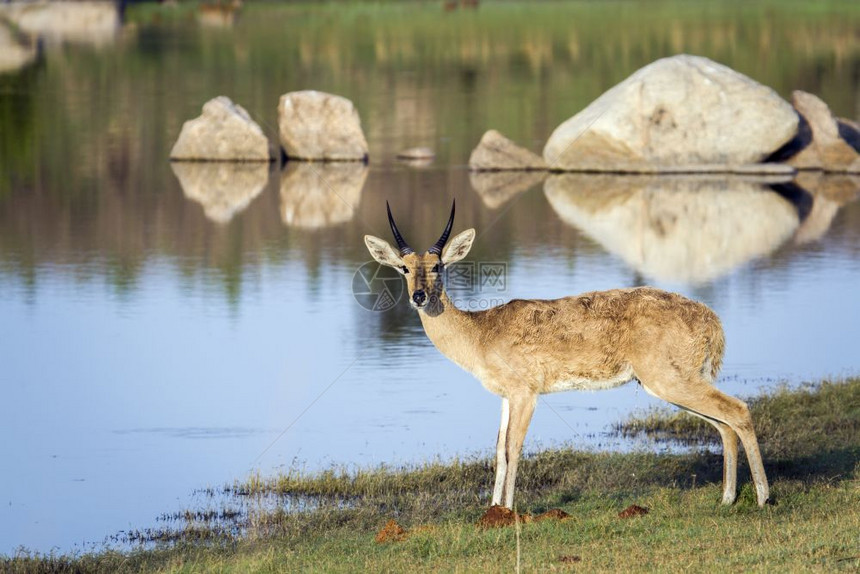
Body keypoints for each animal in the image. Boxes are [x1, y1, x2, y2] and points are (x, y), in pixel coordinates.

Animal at [362, 202, 772, 512]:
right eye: (403, 267)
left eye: (437, 266)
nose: (419, 297)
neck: (480, 333)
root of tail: (711, 319)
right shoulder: (506, 396)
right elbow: (497, 450)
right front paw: (491, 510)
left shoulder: (526, 393)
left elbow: (513, 448)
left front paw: (507, 511)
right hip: (673, 382)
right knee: (723, 424)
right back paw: (726, 499)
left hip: (670, 380)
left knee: (738, 410)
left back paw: (763, 498)